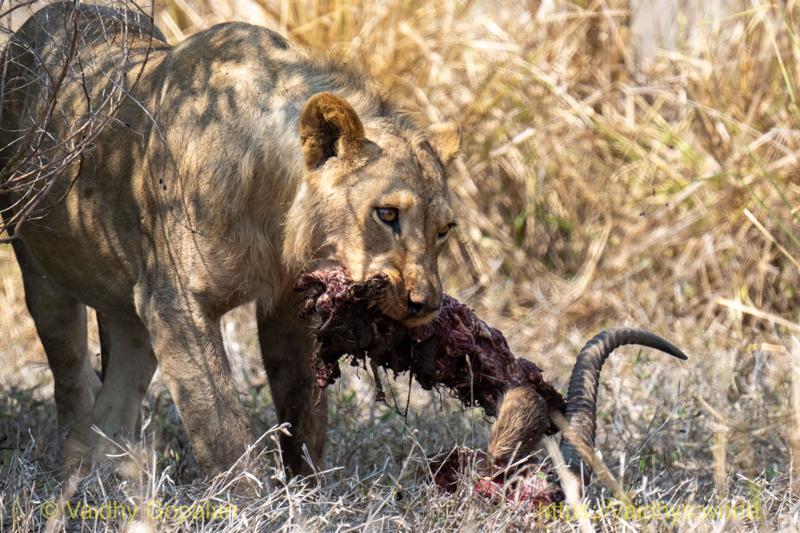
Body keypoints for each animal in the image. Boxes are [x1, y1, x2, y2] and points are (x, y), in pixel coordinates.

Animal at [0, 2, 460, 475]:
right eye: (387, 214)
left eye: (444, 230)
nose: (425, 305)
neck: (277, 218)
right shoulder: (174, 305)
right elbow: (220, 425)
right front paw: (244, 491)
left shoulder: (289, 304)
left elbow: (304, 412)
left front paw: (307, 485)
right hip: (42, 271)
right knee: (70, 372)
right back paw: (77, 466)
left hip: (126, 302)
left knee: (121, 368)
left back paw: (118, 465)